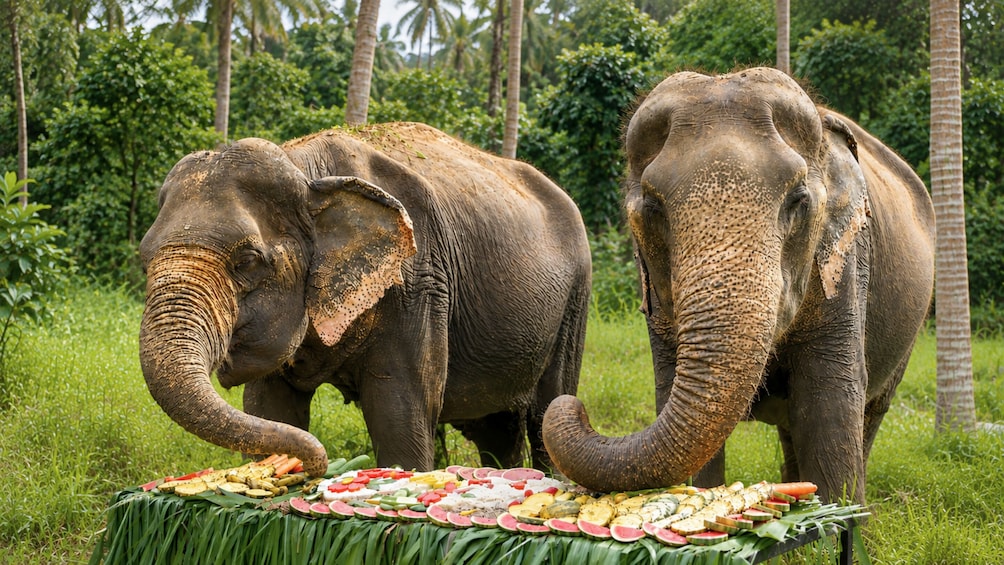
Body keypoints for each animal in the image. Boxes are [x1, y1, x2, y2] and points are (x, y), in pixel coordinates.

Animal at [139, 122, 592, 477]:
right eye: (144, 258)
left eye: (248, 260)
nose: (318, 463)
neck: (306, 171)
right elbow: (269, 409)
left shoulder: (418, 281)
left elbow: (399, 412)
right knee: (496, 430)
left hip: (575, 300)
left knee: (545, 413)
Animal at [542, 67, 934, 503]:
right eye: (652, 206)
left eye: (798, 199)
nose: (571, 403)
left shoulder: (844, 268)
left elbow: (829, 401)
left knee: (870, 412)